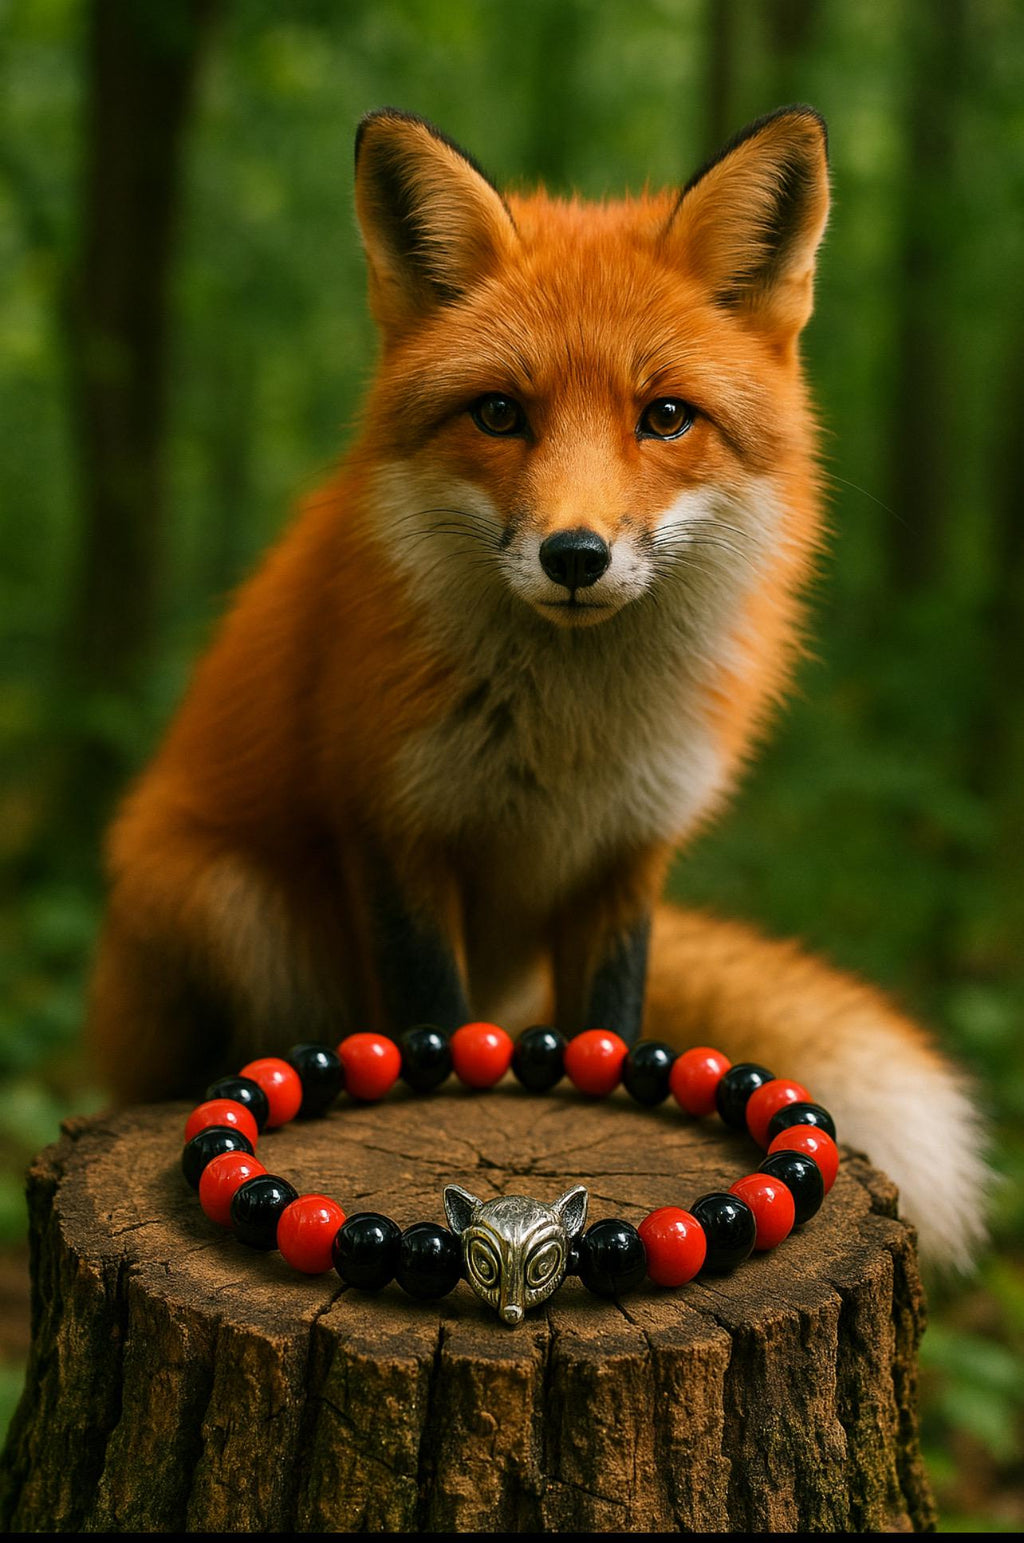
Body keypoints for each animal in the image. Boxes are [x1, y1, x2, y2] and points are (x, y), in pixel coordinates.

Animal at [87, 105, 987, 1266]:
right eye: (501, 413)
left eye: (665, 417)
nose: (575, 555)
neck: (568, 738)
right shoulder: (395, 831)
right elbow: (429, 1017)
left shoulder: (626, 852)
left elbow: (613, 1024)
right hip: (225, 904)